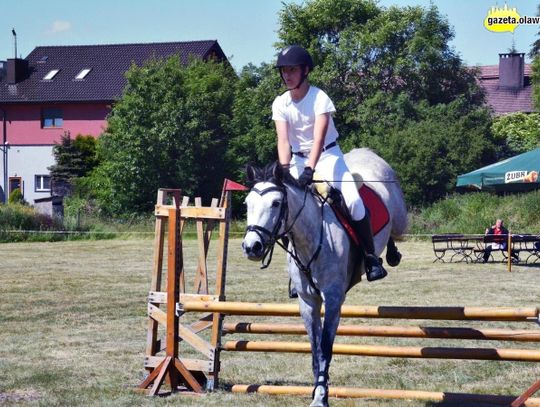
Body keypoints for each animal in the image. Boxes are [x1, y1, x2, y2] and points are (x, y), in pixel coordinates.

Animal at [243, 148, 408, 406]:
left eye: (276, 203)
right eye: (247, 203)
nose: (252, 247)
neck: (309, 239)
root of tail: (366, 152)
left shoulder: (332, 299)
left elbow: (326, 346)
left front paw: (320, 396)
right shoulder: (308, 302)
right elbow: (315, 348)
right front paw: (317, 390)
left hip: (400, 220)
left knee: (395, 231)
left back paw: (387, 258)